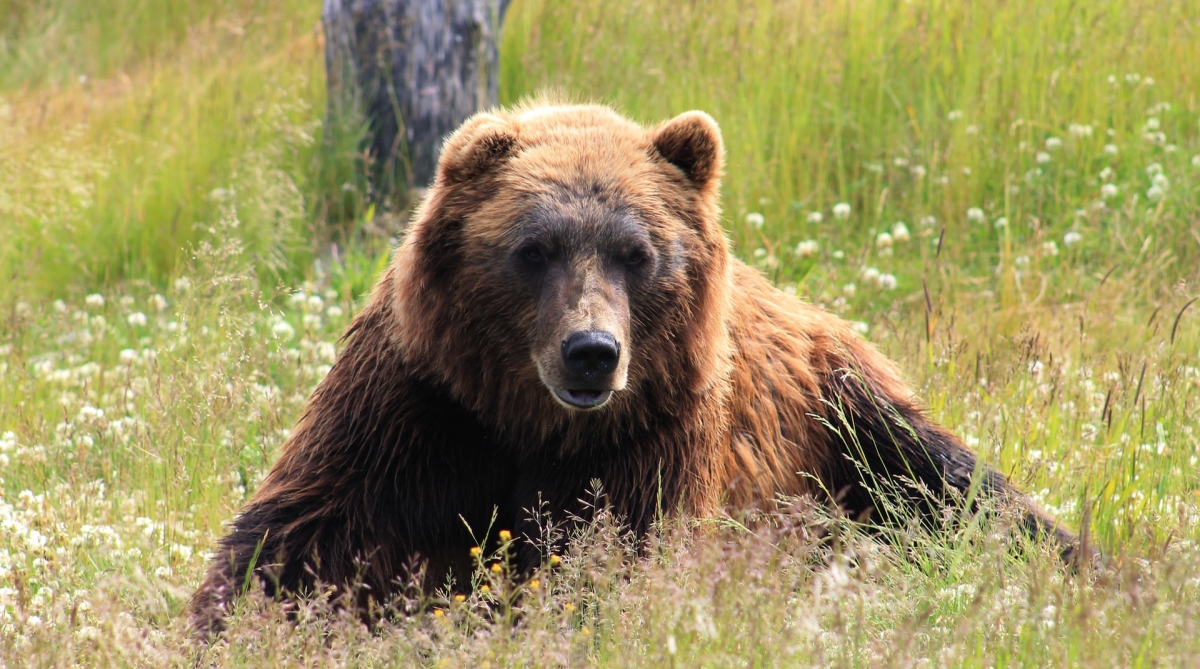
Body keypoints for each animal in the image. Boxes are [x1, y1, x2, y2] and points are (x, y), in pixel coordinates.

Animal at [189, 102, 1081, 638]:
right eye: (533, 247)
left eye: (637, 252)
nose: (592, 350)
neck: (531, 422)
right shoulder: (422, 408)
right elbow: (304, 536)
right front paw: (232, 621)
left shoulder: (651, 436)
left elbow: (616, 560)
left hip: (846, 415)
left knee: (962, 490)